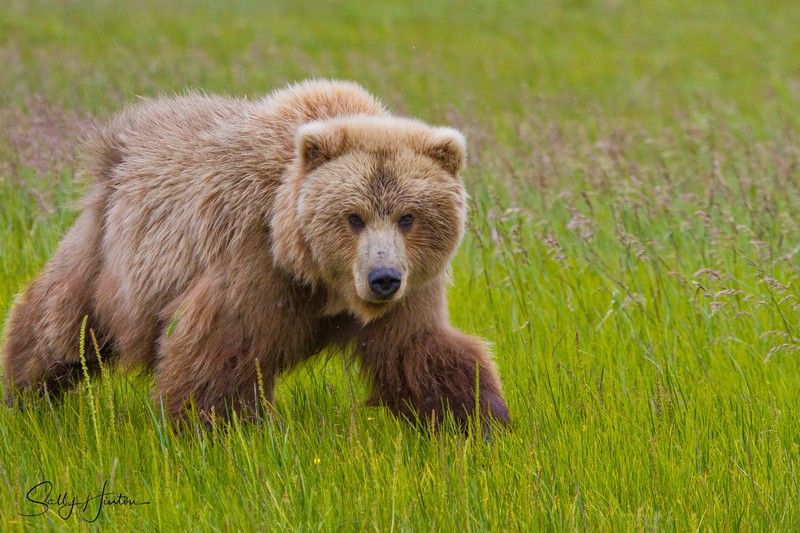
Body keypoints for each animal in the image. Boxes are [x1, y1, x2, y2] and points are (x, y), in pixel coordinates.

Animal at [2, 79, 509, 427]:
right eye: (354, 216)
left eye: (408, 216)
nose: (383, 278)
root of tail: (126, 129)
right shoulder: (255, 258)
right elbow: (219, 352)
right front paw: (211, 430)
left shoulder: (410, 287)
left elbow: (421, 347)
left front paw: (483, 421)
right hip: (113, 249)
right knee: (61, 320)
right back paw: (24, 393)